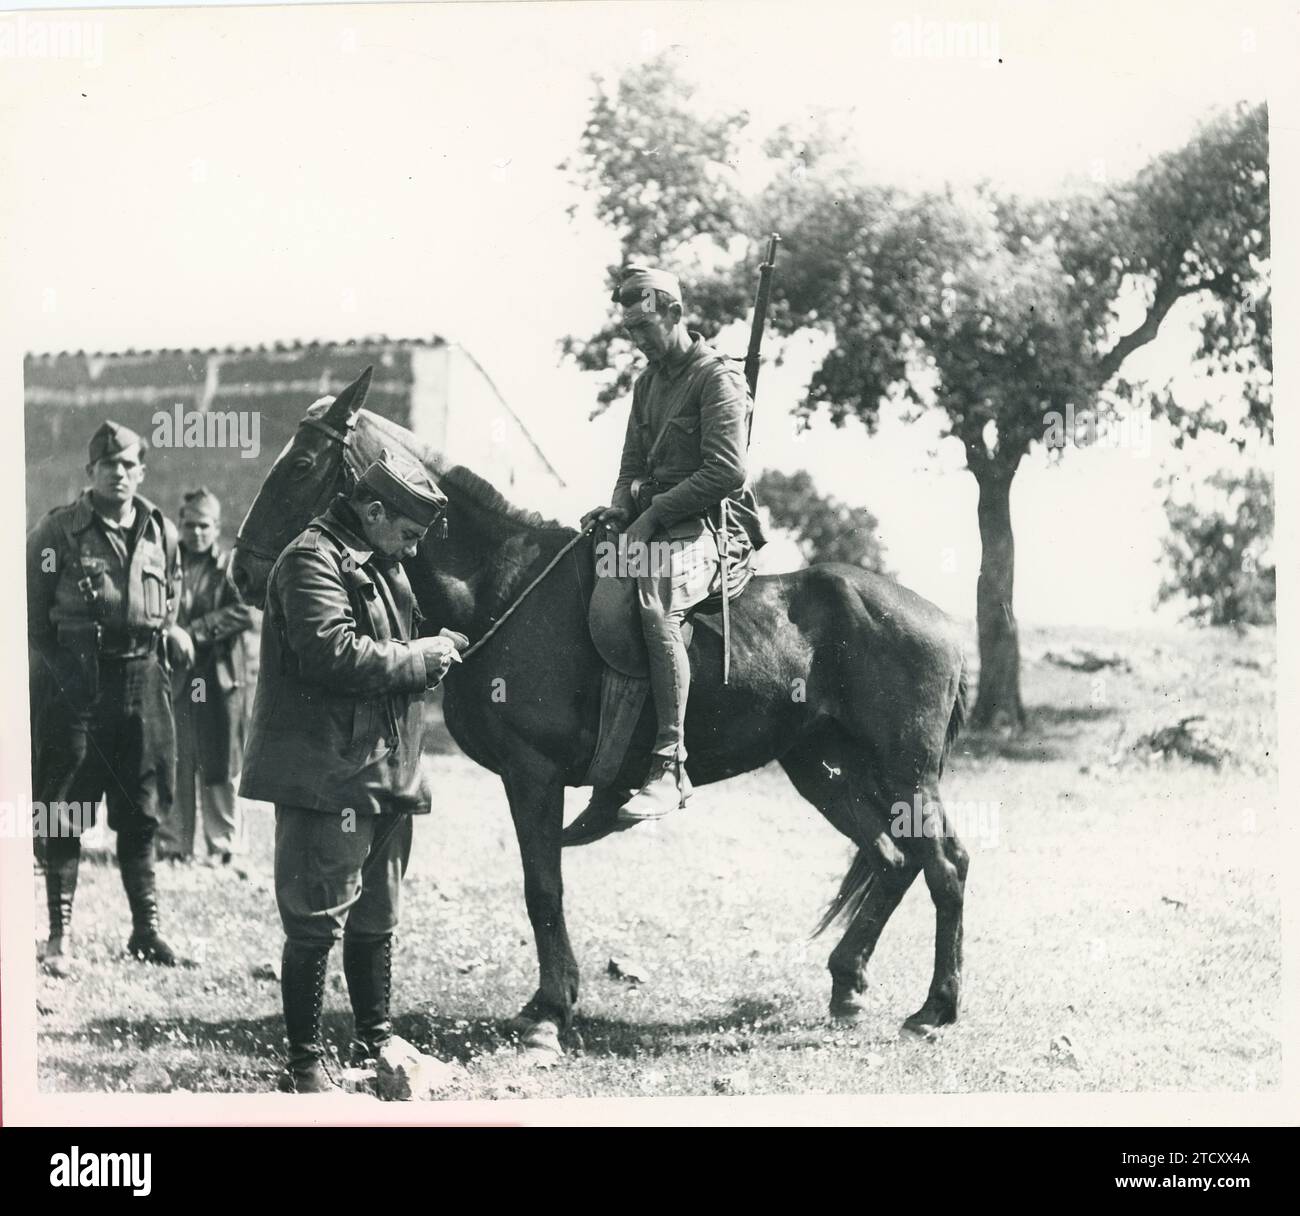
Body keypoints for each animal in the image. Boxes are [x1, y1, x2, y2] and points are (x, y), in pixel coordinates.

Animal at [231, 369, 967, 1056]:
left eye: (301, 465)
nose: (242, 572)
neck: (504, 585)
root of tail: (943, 621)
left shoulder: (533, 774)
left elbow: (542, 888)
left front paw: (549, 1010)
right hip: (822, 768)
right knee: (893, 858)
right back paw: (849, 983)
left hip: (903, 773)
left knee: (945, 867)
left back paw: (935, 1009)